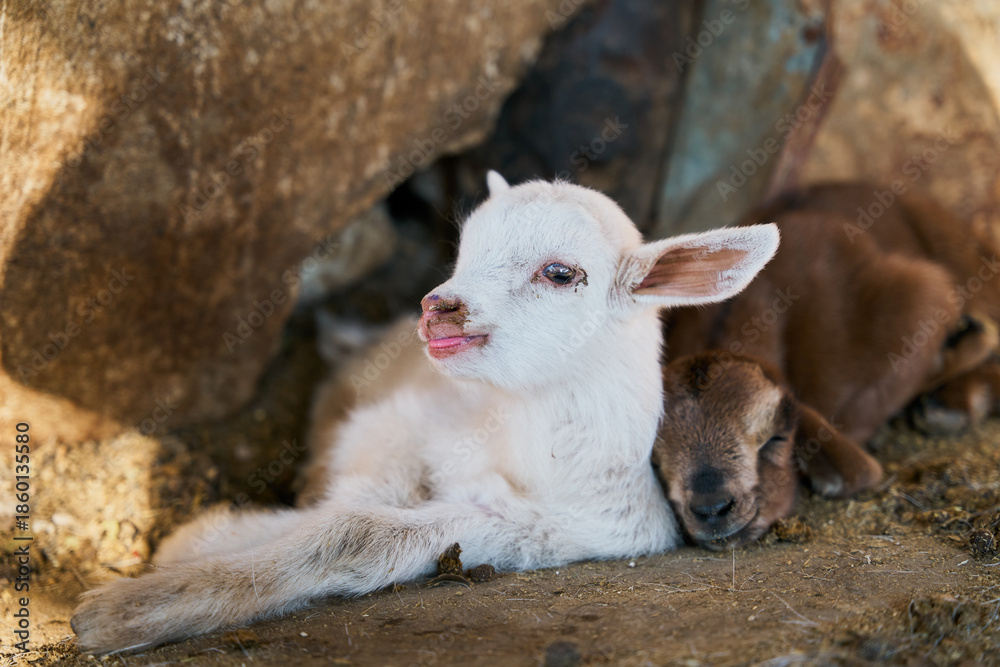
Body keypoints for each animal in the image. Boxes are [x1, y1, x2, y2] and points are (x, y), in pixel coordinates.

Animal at [71, 173, 779, 654]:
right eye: (463, 252)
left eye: (560, 273)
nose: (439, 306)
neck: (524, 451)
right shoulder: (405, 422)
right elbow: (354, 498)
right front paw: (199, 542)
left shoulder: (552, 533)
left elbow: (358, 532)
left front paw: (127, 610)